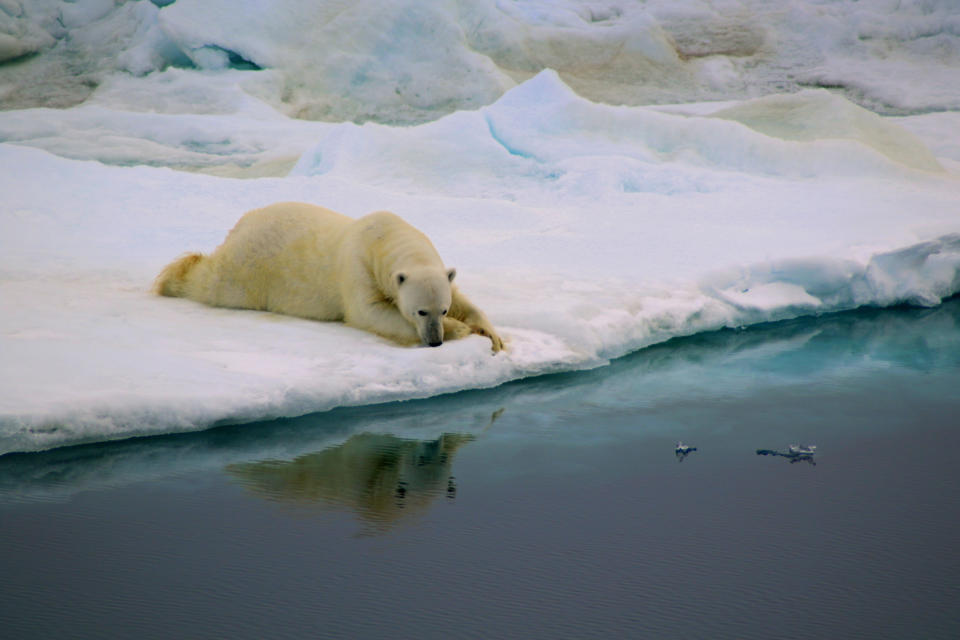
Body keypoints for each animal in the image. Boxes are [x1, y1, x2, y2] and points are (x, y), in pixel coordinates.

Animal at [152, 201, 502, 352]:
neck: (384, 237)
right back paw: (172, 278)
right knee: (212, 281)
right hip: (249, 268)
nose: (435, 340)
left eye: (441, 309)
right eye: (420, 312)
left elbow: (463, 297)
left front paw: (491, 333)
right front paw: (460, 329)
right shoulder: (358, 267)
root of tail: (241, 224)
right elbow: (370, 312)